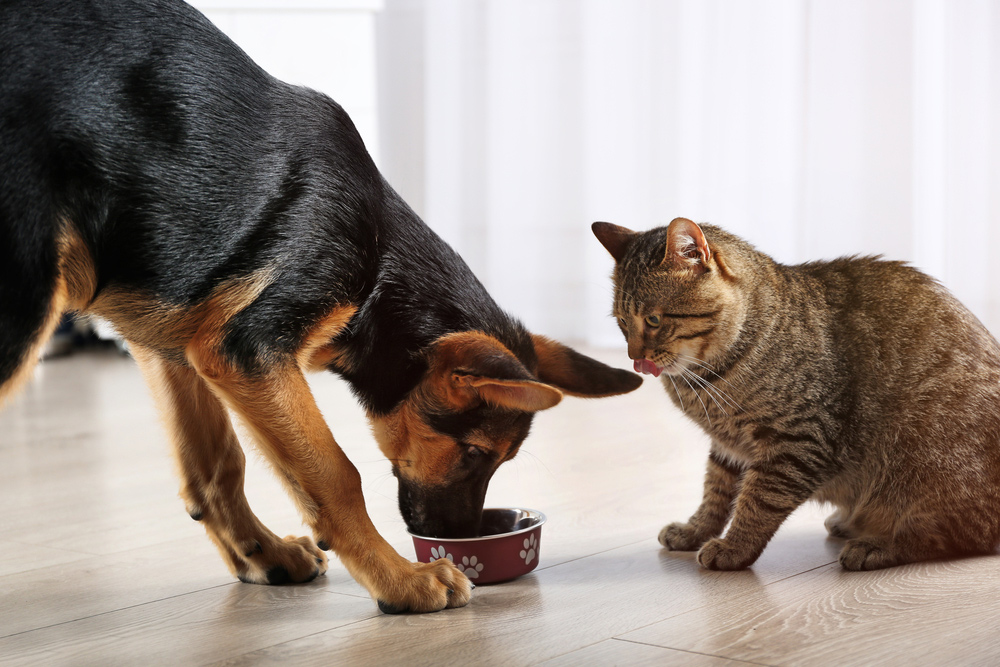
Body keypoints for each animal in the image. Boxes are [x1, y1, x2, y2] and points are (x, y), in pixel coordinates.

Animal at [0, 0, 640, 616]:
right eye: (476, 452)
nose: (462, 540)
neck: (378, 265)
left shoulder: (173, 342)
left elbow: (217, 467)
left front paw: (261, 554)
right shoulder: (247, 351)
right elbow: (336, 475)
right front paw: (401, 580)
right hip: (22, 313)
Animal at [592, 217, 1000, 572]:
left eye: (654, 320)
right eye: (622, 323)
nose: (634, 358)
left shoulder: (798, 440)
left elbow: (758, 501)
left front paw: (734, 547)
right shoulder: (729, 447)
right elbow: (715, 493)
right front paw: (694, 531)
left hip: (918, 458)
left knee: (949, 535)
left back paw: (876, 546)